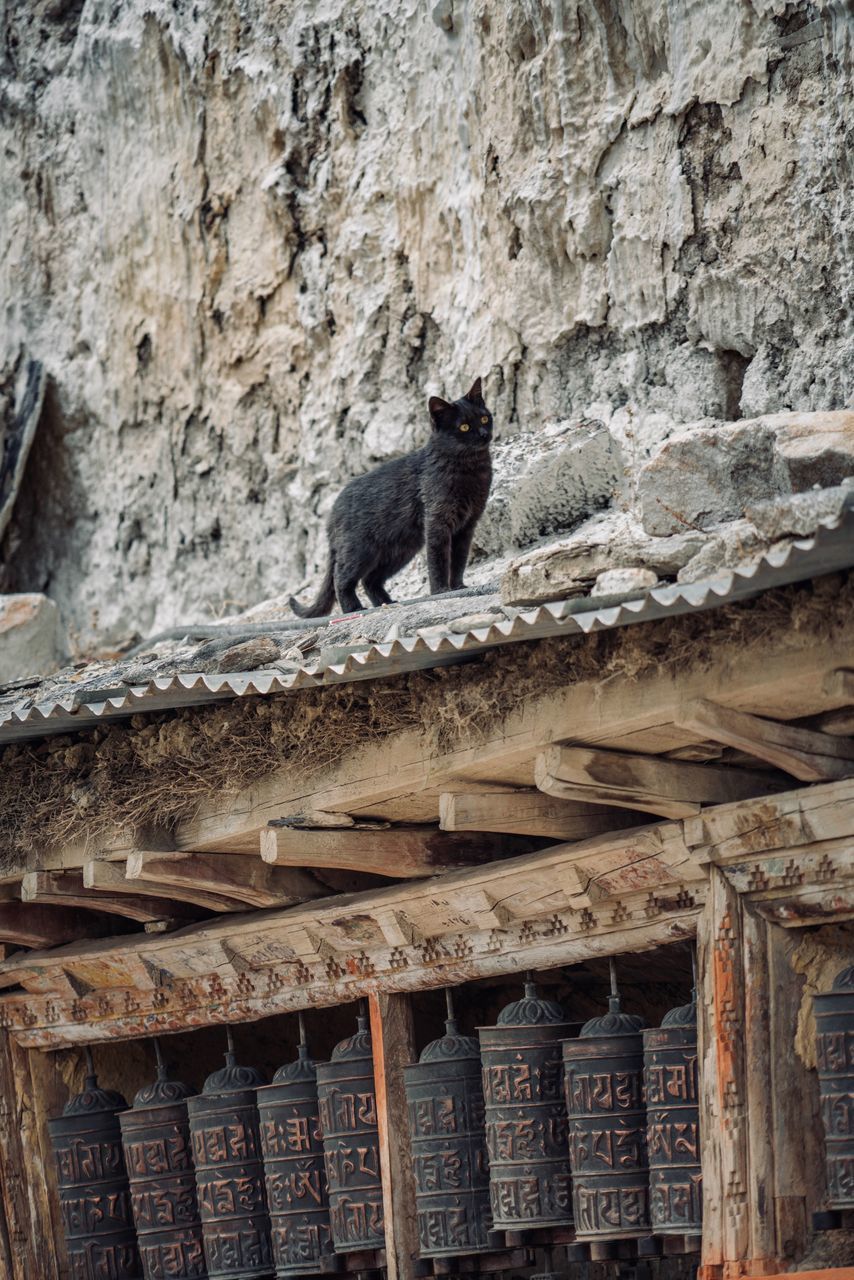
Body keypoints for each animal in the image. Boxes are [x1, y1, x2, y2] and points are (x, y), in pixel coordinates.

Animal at [290, 376, 494, 616]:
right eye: (464, 427)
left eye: (484, 418)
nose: (483, 434)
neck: (471, 471)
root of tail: (332, 513)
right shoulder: (437, 521)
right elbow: (439, 559)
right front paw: (441, 591)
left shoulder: (467, 525)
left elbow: (459, 560)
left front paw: (459, 586)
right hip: (361, 549)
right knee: (342, 577)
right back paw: (353, 608)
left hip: (398, 549)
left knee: (370, 580)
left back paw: (386, 603)